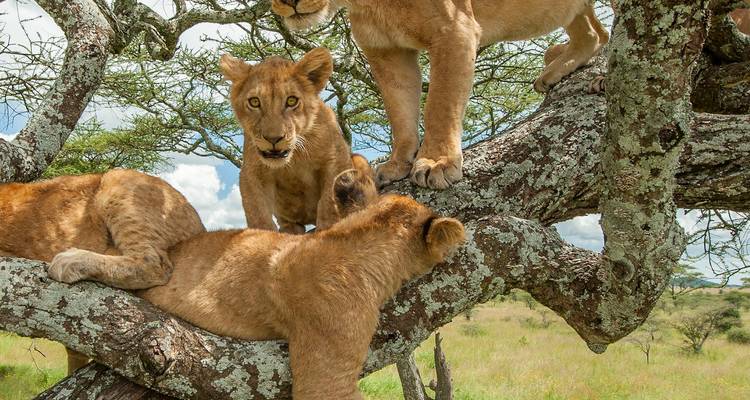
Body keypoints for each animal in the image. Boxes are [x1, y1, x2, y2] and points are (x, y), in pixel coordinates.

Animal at [221, 48, 375, 232]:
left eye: (291, 100)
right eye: (255, 102)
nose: (274, 138)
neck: (295, 157)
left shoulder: (337, 158)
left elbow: (328, 202)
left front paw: (327, 229)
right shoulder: (252, 172)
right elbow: (257, 213)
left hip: (358, 160)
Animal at [271, 0, 609, 189]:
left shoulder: (455, 30)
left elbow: (440, 104)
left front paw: (436, 162)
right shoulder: (385, 49)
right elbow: (399, 111)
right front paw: (398, 164)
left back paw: (601, 79)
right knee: (595, 34)